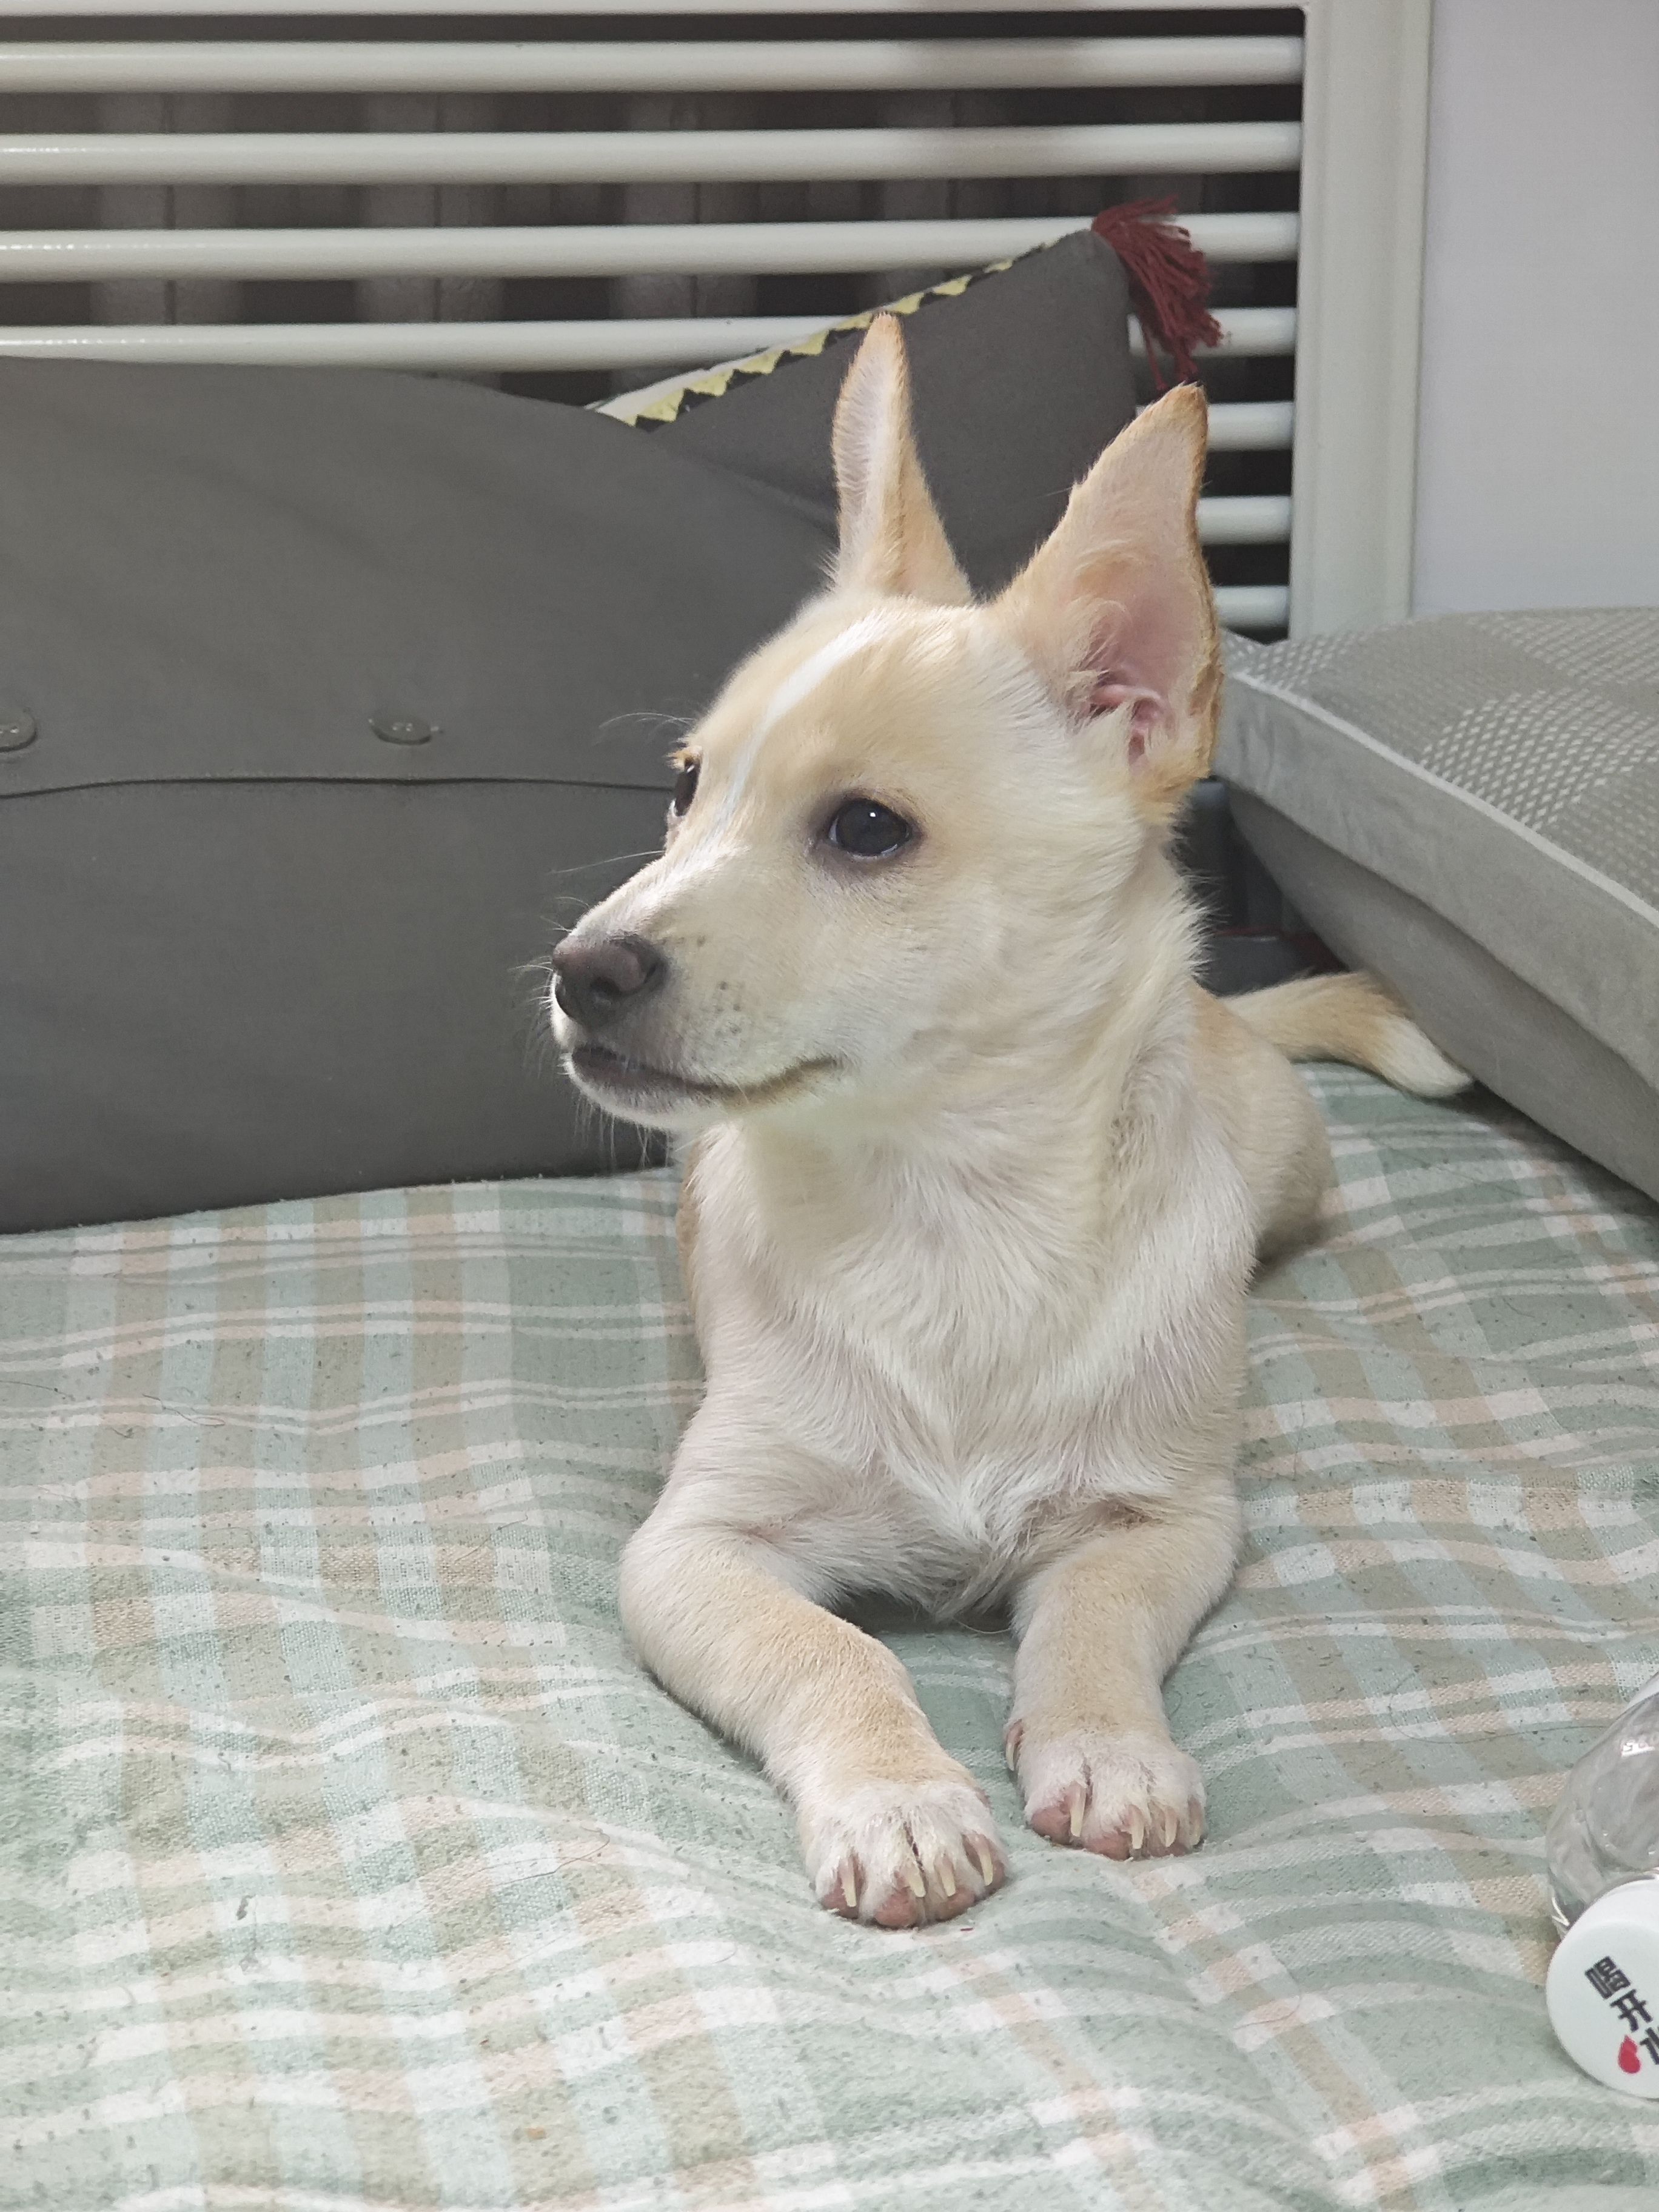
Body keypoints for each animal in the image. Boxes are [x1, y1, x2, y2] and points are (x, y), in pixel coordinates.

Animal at [549, 317, 1466, 1928]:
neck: (950, 1208)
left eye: (865, 831)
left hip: (1287, 1163)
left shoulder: (1165, 1520)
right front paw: (900, 1800)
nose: (576, 969)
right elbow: (832, 1650)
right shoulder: (694, 1549)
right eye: (685, 791)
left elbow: (1091, 1619)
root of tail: (1232, 1019)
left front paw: (1110, 1750)